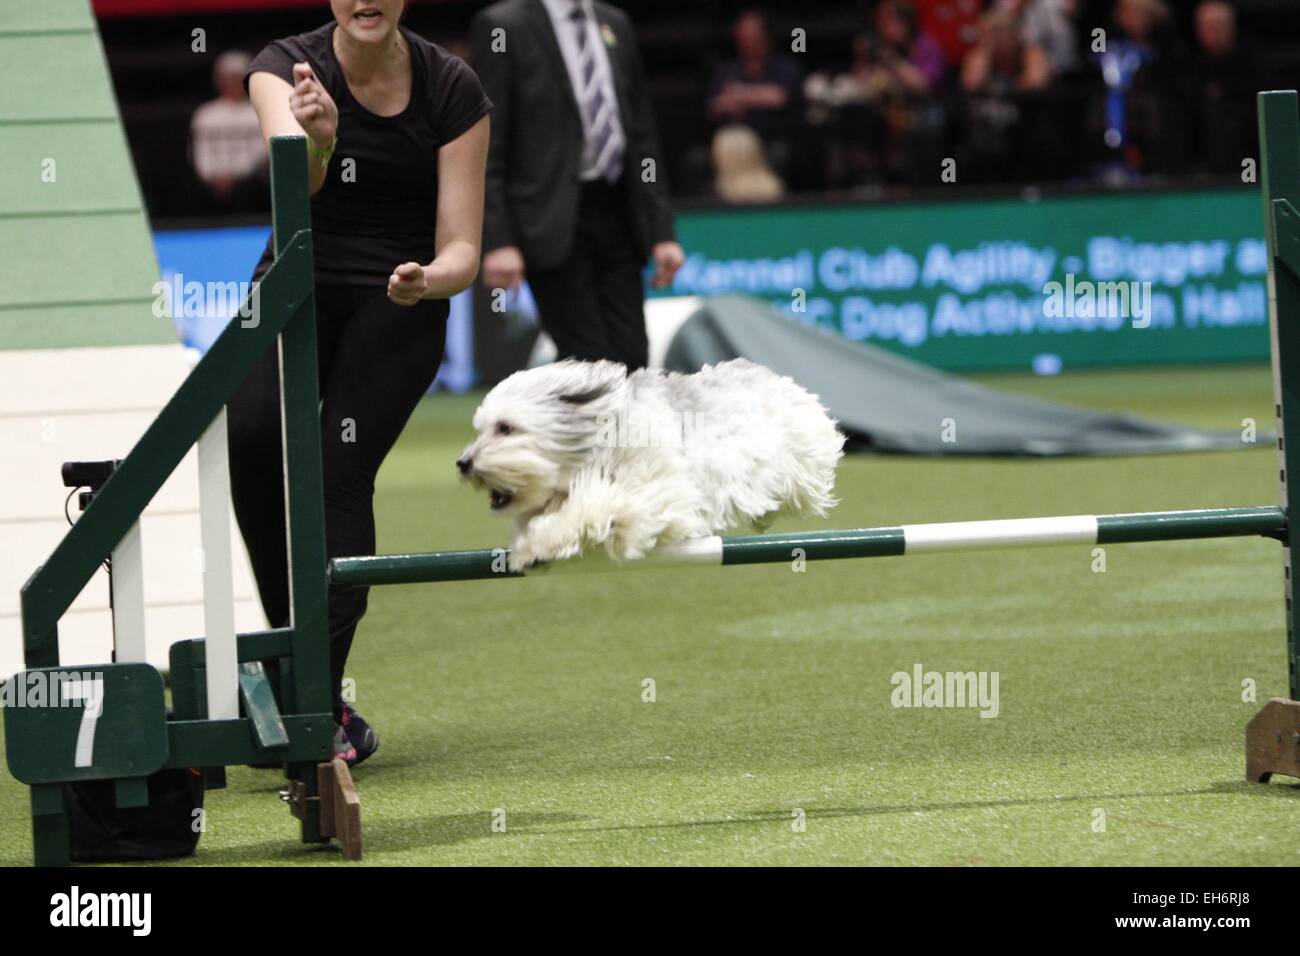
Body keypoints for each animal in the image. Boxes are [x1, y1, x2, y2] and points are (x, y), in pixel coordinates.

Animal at [454, 356, 842, 567]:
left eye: (506, 427)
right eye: (480, 428)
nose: (463, 463)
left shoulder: (655, 491)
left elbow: (595, 508)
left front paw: (540, 544)